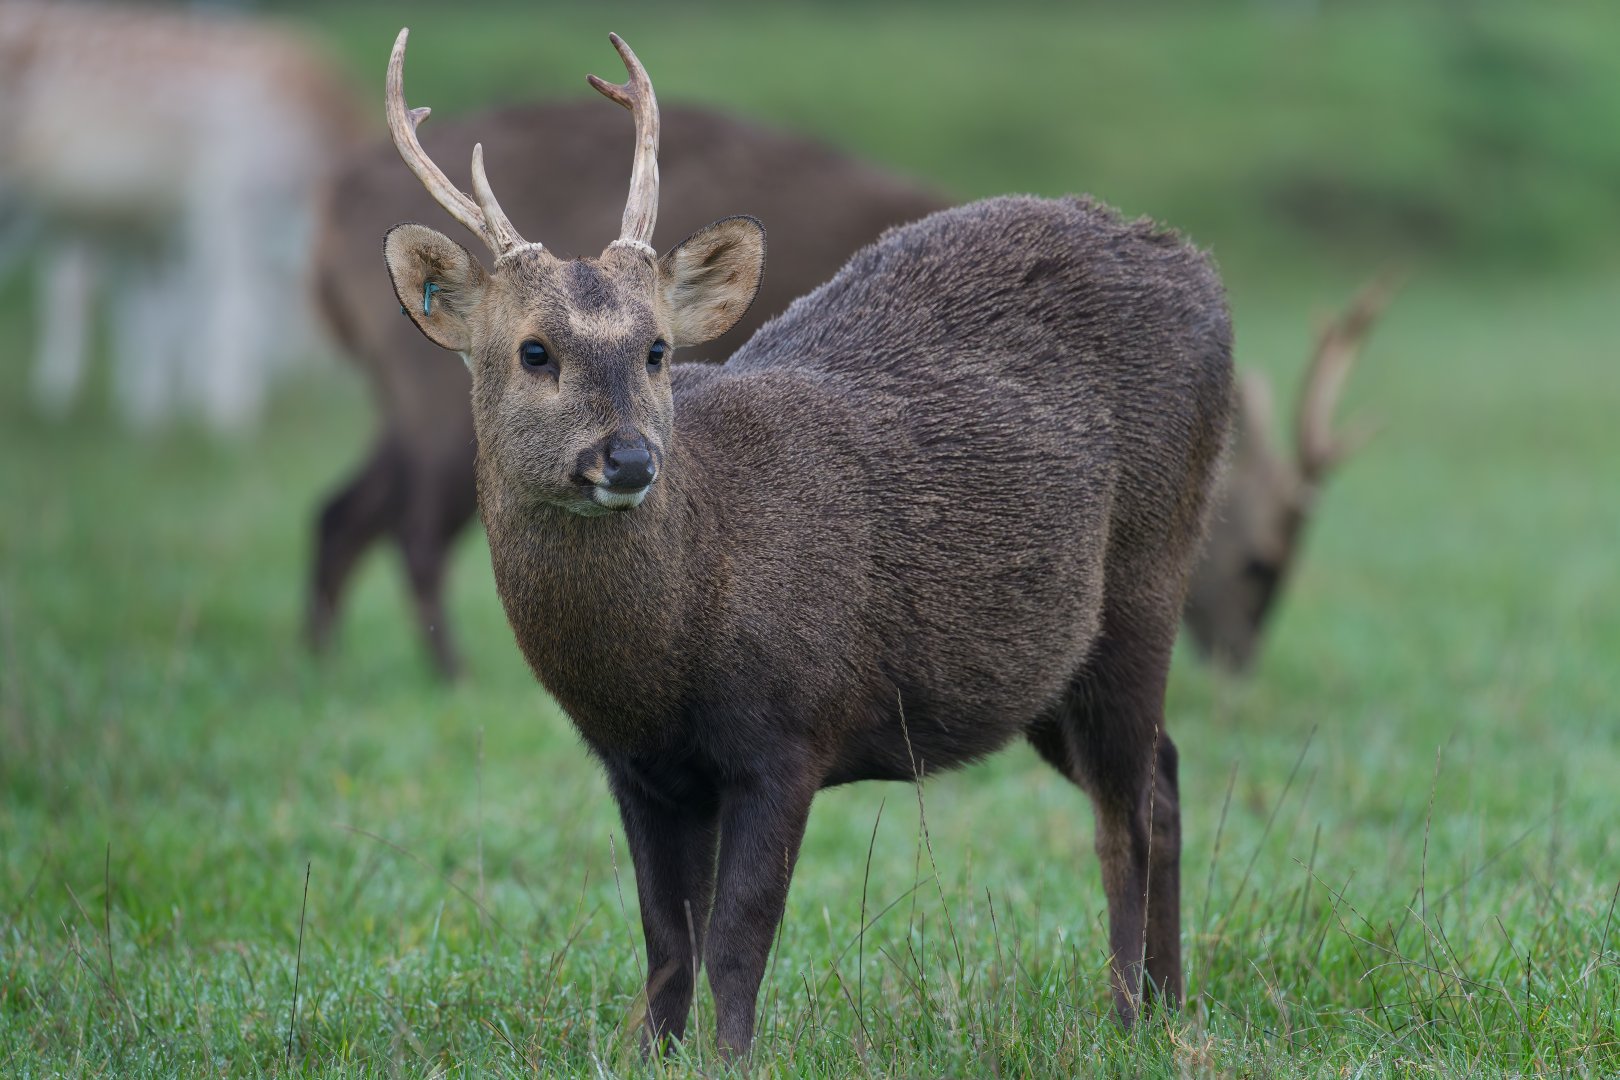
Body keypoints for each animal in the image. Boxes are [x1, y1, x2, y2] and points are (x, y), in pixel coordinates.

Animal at [377, 28, 1233, 1056]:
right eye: (533, 350)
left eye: (658, 349)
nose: (628, 457)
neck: (672, 644)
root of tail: (1203, 276)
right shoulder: (639, 769)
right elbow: (666, 941)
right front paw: (656, 1054)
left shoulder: (790, 728)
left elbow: (737, 939)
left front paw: (732, 1058)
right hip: (1043, 668)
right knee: (1164, 777)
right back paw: (1170, 1001)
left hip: (1150, 570)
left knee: (1125, 815)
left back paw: (1128, 1014)